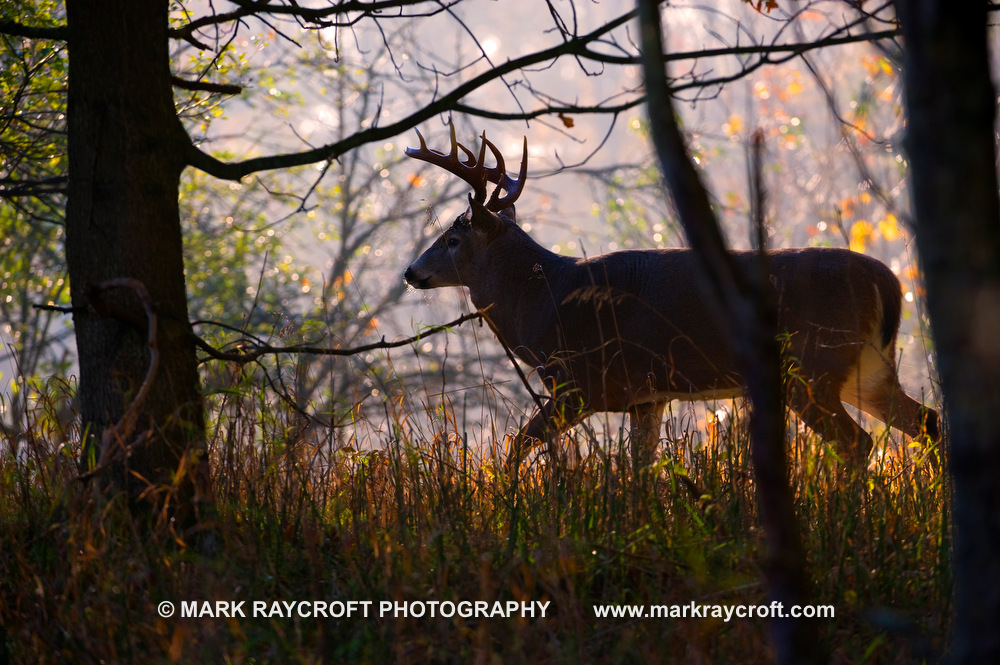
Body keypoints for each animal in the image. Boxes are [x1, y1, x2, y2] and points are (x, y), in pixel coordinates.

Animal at [402, 123, 940, 466]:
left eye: (453, 238)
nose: (411, 272)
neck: (543, 300)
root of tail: (890, 284)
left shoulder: (583, 382)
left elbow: (517, 446)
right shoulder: (647, 396)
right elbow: (640, 467)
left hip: (813, 365)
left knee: (858, 444)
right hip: (865, 367)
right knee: (927, 421)